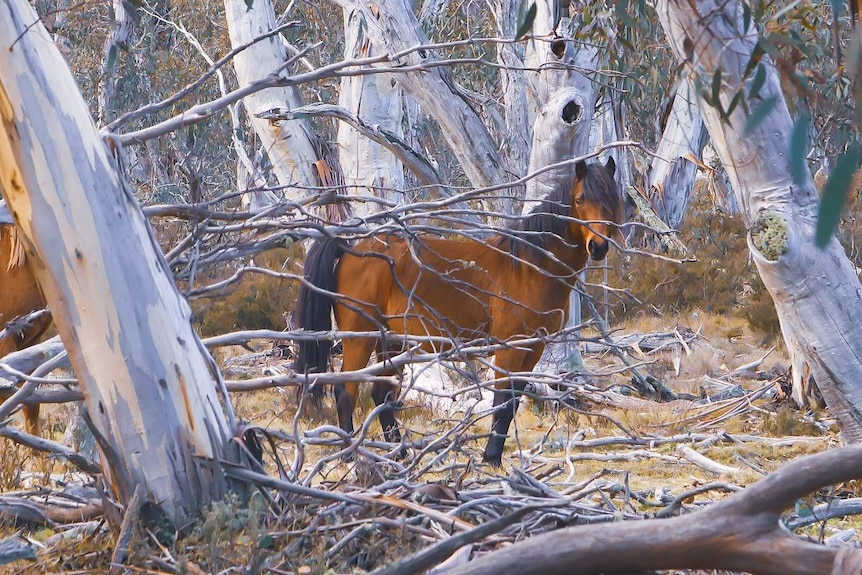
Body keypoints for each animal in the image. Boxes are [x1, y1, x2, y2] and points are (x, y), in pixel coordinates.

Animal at [296, 160, 620, 466]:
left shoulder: (533, 348)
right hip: (361, 337)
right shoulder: (510, 348)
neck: (529, 266)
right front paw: (491, 458)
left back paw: (399, 453)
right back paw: (350, 455)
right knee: (346, 391)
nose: (598, 246)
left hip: (391, 341)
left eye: (611, 200)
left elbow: (513, 402)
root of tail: (350, 249)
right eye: (579, 199)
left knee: (382, 394)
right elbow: (503, 402)